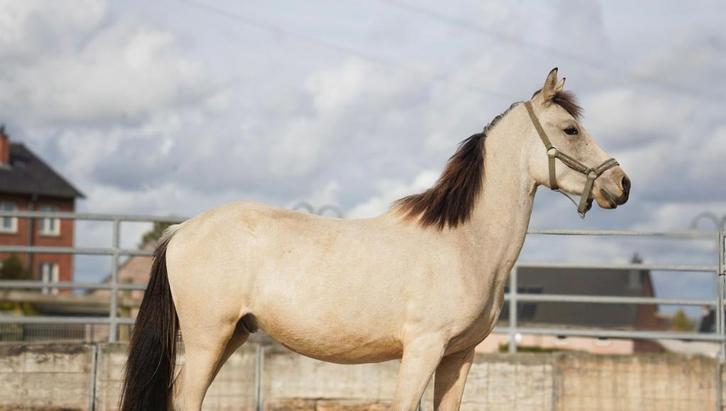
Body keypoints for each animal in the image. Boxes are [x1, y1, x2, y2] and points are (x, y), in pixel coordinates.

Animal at [120, 68, 630, 411]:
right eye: (571, 129)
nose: (622, 184)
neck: (465, 245)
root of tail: (182, 230)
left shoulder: (460, 355)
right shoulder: (423, 349)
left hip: (233, 334)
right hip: (208, 335)